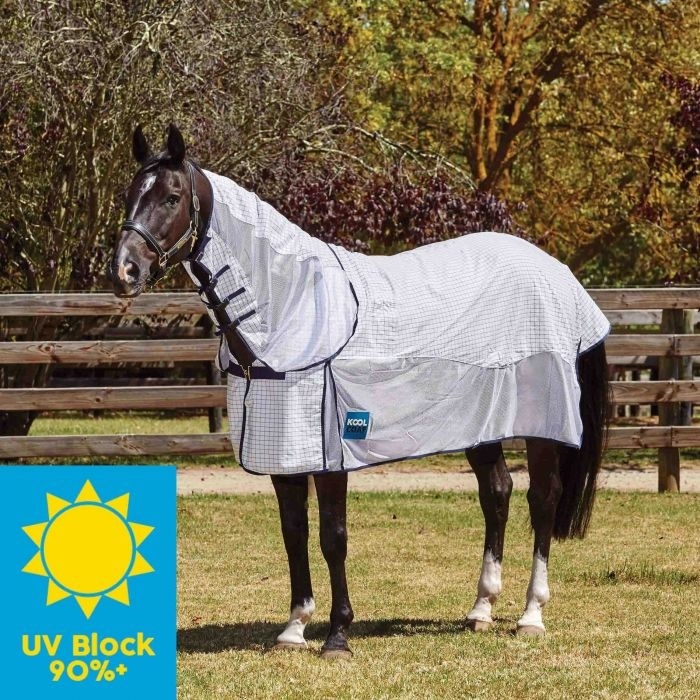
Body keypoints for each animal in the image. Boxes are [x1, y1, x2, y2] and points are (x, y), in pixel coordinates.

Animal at [110, 124, 610, 659]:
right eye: (130, 193)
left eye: (171, 196)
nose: (124, 271)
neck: (288, 303)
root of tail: (559, 275)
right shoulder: (282, 451)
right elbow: (293, 532)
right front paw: (294, 628)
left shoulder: (331, 451)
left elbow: (333, 536)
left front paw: (338, 635)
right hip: (481, 424)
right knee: (497, 493)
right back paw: (480, 610)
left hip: (543, 425)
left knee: (543, 500)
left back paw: (531, 615)